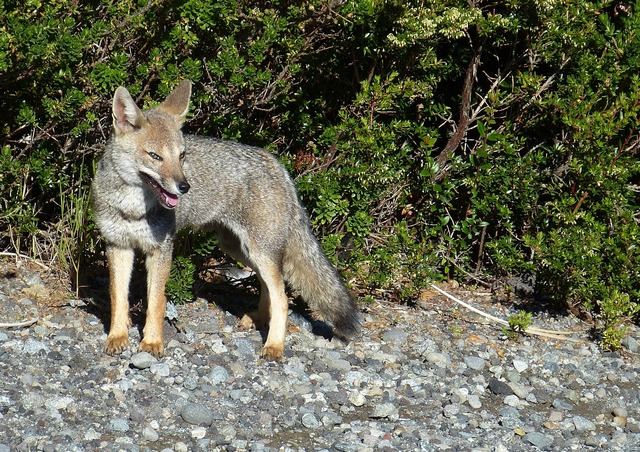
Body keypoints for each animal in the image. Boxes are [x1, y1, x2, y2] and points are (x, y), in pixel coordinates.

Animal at [91, 80, 361, 360]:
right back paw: (259, 318)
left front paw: (152, 342)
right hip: (239, 250)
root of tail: (279, 166)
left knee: (283, 297)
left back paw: (274, 345)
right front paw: (117, 337)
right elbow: (118, 299)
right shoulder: (118, 246)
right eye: (155, 156)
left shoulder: (161, 250)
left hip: (259, 252)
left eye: (182, 156)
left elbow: (156, 302)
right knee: (270, 285)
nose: (185, 187)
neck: (131, 208)